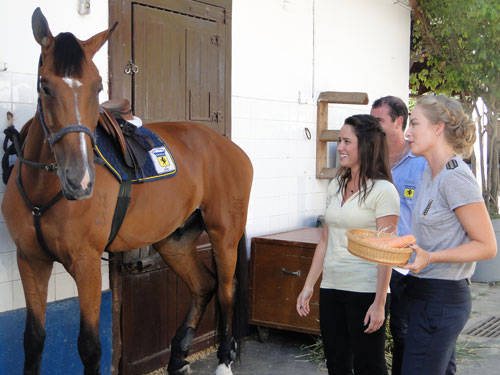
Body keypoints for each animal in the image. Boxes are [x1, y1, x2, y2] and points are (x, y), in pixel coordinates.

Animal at [1, 8, 254, 375]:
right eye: (44, 86)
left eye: (98, 87)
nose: (80, 180)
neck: (43, 187)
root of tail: (230, 147)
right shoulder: (31, 260)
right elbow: (33, 340)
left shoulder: (87, 263)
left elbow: (90, 346)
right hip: (174, 241)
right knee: (203, 285)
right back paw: (178, 357)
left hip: (224, 234)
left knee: (225, 290)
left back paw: (223, 361)